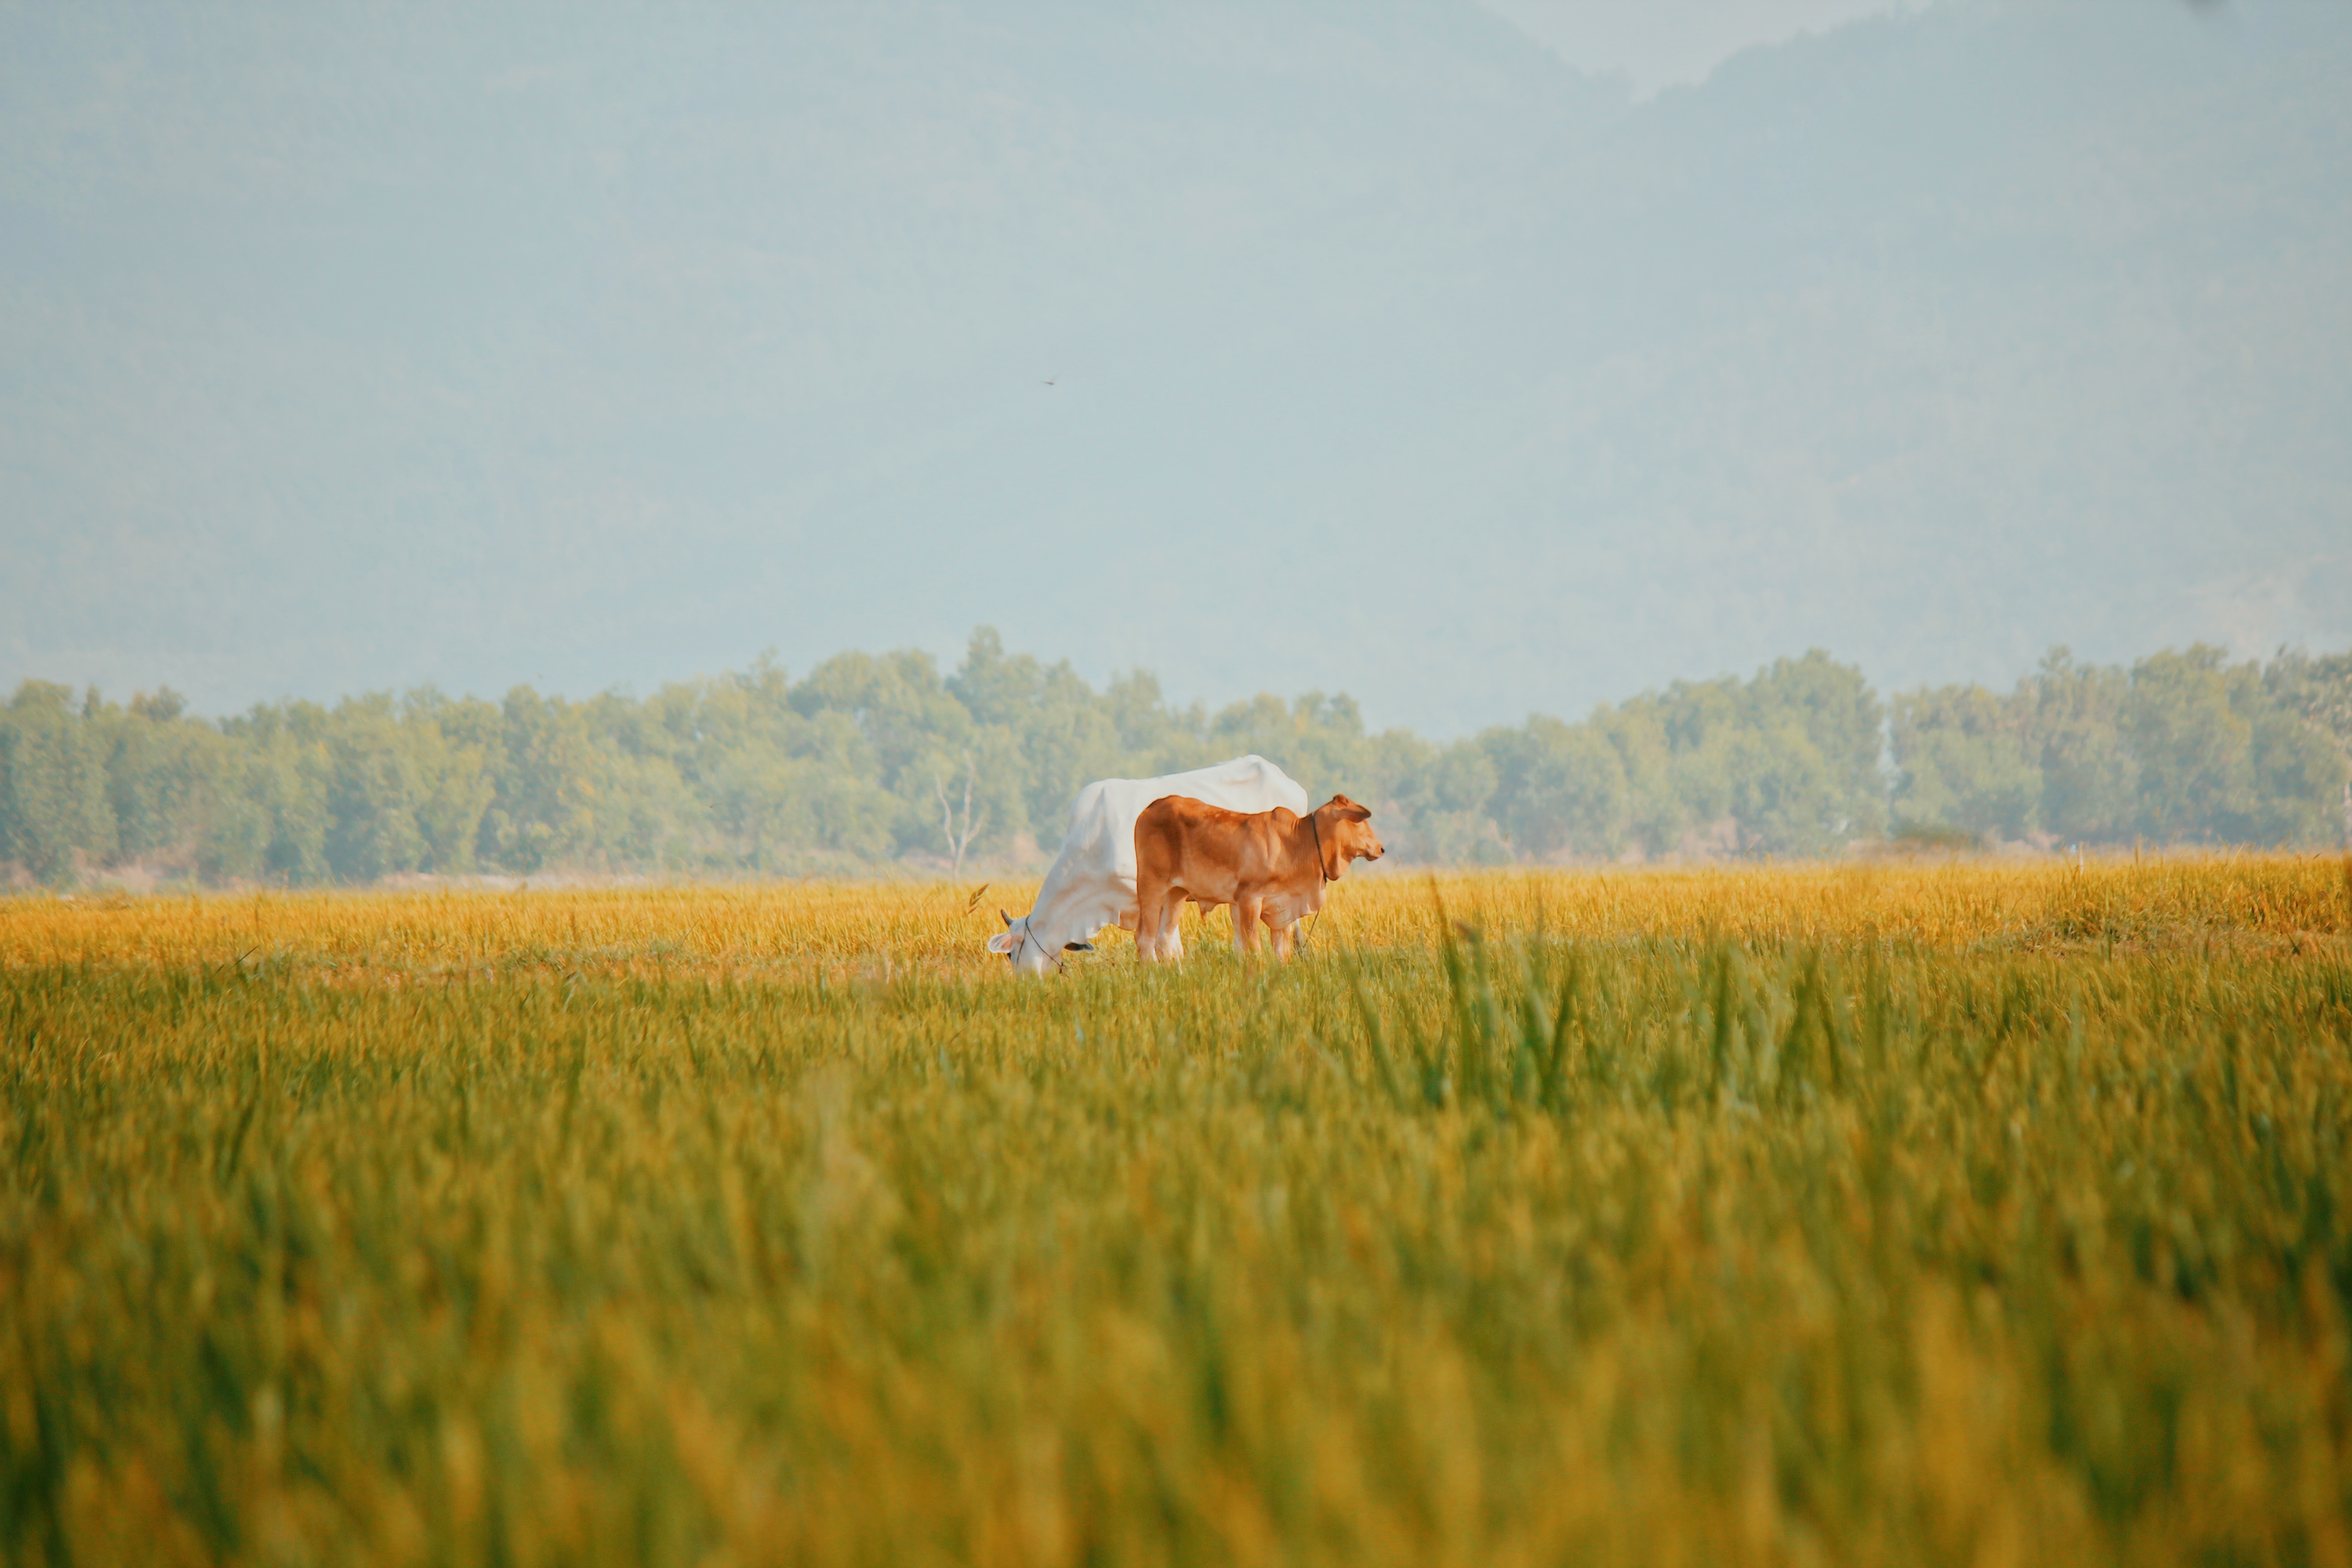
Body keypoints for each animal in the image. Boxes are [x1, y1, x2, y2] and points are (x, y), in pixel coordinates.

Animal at [1133, 789, 1373, 964]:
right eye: (1360, 822)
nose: (1379, 848)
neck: (1296, 842)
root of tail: (1151, 807)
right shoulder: (1249, 900)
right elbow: (1253, 947)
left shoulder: (1279, 908)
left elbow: (1278, 949)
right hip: (1151, 886)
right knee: (1145, 939)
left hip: (1176, 893)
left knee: (1164, 940)